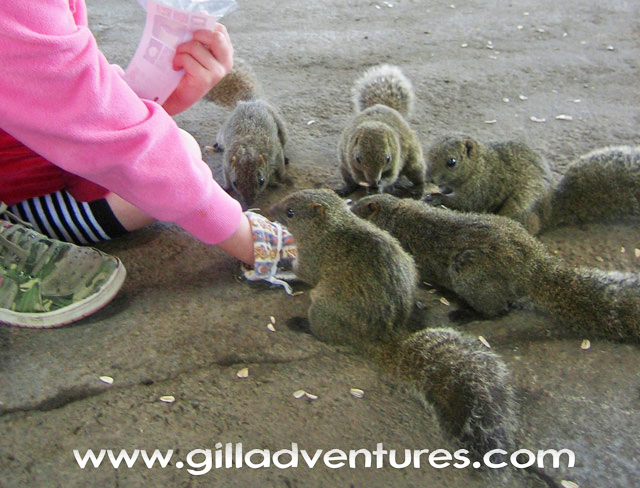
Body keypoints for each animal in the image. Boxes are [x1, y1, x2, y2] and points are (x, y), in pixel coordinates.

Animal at [206, 58, 289, 207]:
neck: (248, 148)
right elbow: (226, 177)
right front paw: (225, 188)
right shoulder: (227, 163)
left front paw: (284, 178)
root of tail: (248, 101)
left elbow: (280, 164)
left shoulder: (275, 150)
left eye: (261, 180)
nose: (249, 203)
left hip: (280, 125)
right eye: (235, 183)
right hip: (223, 132)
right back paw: (216, 146)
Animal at [269, 189, 517, 460]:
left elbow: (304, 273)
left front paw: (284, 262)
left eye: (290, 212)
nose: (270, 210)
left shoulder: (313, 256)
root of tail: (382, 338)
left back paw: (302, 324)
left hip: (322, 310)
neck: (330, 227)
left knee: (324, 331)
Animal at [337, 65, 426, 198]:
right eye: (358, 158)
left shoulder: (396, 159)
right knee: (350, 181)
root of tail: (383, 105)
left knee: (418, 175)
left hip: (414, 160)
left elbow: (390, 177)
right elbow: (358, 176)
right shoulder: (350, 158)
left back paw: (418, 189)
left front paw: (380, 186)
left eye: (388, 158)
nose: (374, 182)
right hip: (344, 167)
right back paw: (345, 189)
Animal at [351, 194, 640, 343]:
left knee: (498, 308)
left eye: (357, 207)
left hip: (471, 272)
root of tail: (532, 267)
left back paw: (467, 313)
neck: (396, 212)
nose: (348, 204)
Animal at [424, 136, 640, 235]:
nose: (429, 178)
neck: (479, 165)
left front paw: (436, 198)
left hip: (520, 206)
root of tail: (549, 211)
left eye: (451, 162)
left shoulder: (482, 186)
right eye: (429, 152)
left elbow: (466, 203)